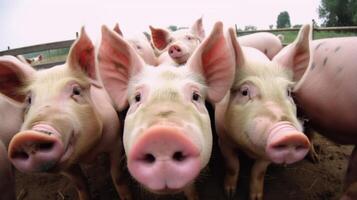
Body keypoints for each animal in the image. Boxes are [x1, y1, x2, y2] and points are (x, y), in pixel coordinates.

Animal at [0, 27, 131, 200]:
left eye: (76, 91)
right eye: (29, 100)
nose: (28, 136)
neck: (86, 153)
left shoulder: (115, 141)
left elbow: (117, 176)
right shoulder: (66, 167)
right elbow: (80, 183)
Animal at [214, 25, 312, 200]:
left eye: (288, 92)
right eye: (245, 92)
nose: (290, 134)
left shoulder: (266, 156)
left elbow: (258, 173)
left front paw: (256, 198)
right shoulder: (223, 140)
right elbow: (233, 165)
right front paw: (229, 193)